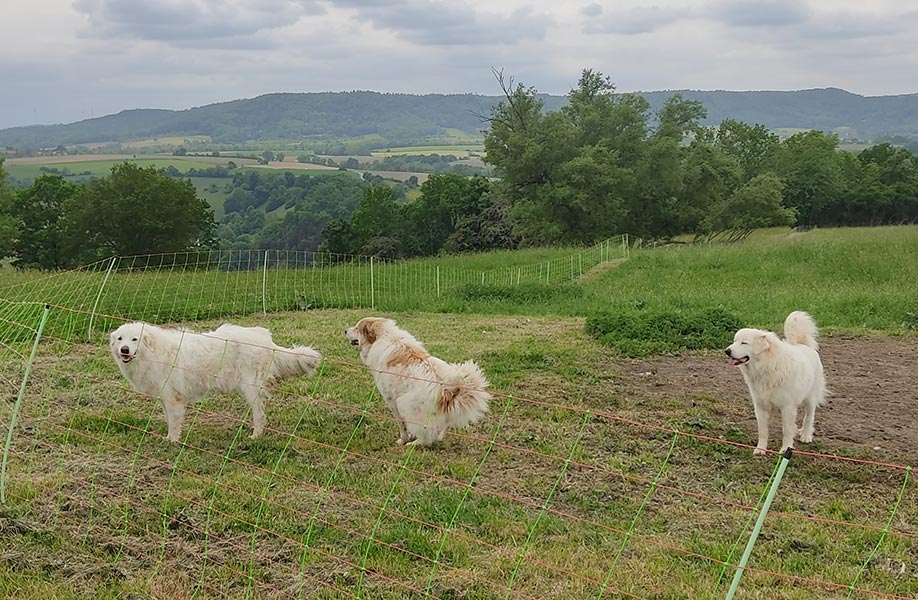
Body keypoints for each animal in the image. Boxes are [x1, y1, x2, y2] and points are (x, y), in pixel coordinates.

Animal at [344, 318, 488, 446]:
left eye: (356, 328)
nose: (345, 330)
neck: (384, 336)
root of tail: (447, 392)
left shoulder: (391, 399)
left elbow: (401, 424)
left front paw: (403, 439)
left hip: (404, 403)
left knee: (426, 436)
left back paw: (413, 444)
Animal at [728, 310, 832, 454]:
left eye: (744, 343)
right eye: (734, 341)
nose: (727, 351)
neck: (767, 365)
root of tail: (803, 345)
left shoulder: (787, 407)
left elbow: (786, 430)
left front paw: (785, 449)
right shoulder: (760, 406)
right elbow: (763, 431)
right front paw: (760, 449)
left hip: (810, 398)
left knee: (809, 416)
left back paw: (806, 435)